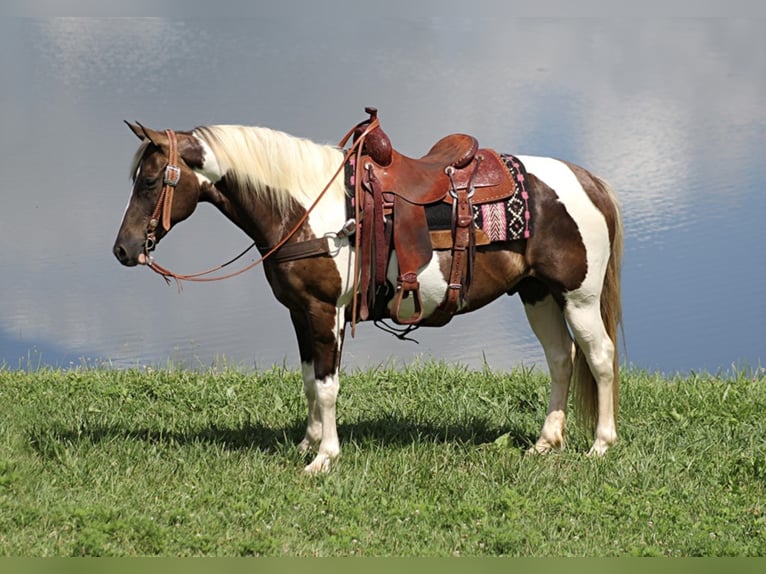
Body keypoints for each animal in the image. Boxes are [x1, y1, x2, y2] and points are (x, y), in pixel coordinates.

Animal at [114, 111, 624, 472]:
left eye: (151, 181)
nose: (123, 249)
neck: (306, 207)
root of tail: (587, 180)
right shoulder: (300, 312)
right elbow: (308, 379)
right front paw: (307, 443)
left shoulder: (326, 311)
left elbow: (327, 385)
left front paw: (324, 457)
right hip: (538, 294)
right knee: (561, 359)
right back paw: (545, 443)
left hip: (577, 297)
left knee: (599, 357)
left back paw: (601, 445)